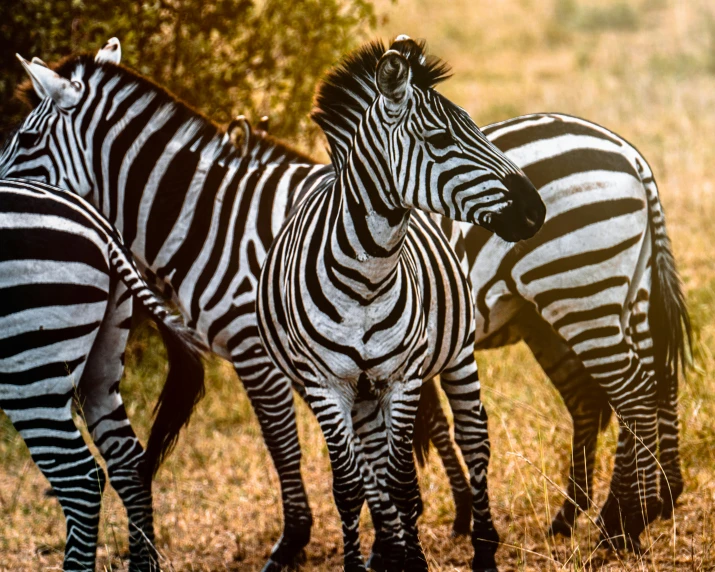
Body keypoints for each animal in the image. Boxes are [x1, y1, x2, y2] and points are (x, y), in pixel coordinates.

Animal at [0, 177, 207, 568]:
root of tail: (102, 229)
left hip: (31, 372)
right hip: (100, 369)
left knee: (82, 481)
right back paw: (143, 566)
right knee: (128, 463)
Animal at [256, 36, 544, 572]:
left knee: (473, 439)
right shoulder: (326, 387)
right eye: (439, 140)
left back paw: (483, 549)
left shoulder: (403, 377)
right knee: (373, 464)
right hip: (362, 394)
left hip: (457, 354)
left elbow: (402, 482)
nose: (536, 210)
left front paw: (415, 559)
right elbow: (351, 488)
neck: (365, 279)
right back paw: (389, 548)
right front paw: (369, 560)